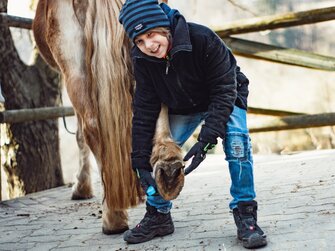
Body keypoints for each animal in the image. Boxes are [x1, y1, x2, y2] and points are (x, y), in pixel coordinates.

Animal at [32, 0, 185, 234]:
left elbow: (79, 136)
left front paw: (82, 188)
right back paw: (168, 170)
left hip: (74, 67)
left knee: (92, 129)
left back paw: (113, 218)